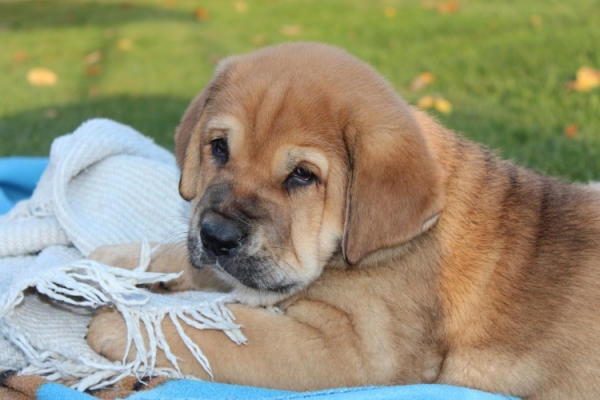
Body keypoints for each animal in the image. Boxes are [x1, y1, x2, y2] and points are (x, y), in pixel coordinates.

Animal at [85, 42, 600, 398]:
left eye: (302, 175)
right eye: (219, 148)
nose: (216, 235)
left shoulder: (351, 350)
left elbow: (221, 332)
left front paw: (123, 326)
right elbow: (183, 262)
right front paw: (112, 261)